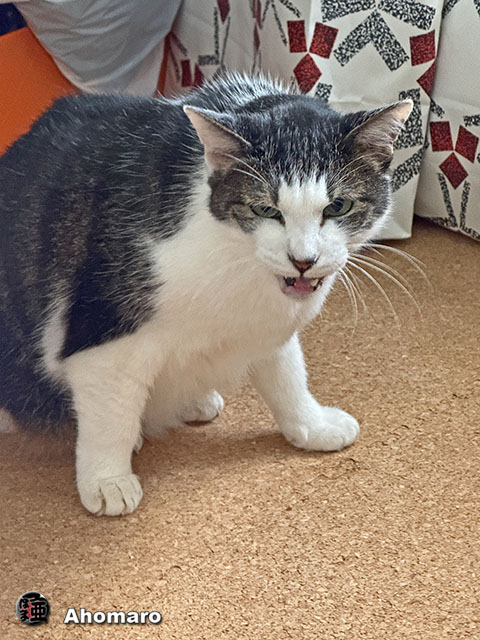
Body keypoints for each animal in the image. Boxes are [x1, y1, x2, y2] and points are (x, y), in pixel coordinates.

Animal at [0, 73, 411, 516]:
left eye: (337, 206)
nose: (303, 260)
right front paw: (107, 478)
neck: (236, 258)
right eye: (265, 210)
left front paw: (312, 426)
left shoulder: (267, 327)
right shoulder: (105, 335)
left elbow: (287, 377)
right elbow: (110, 417)